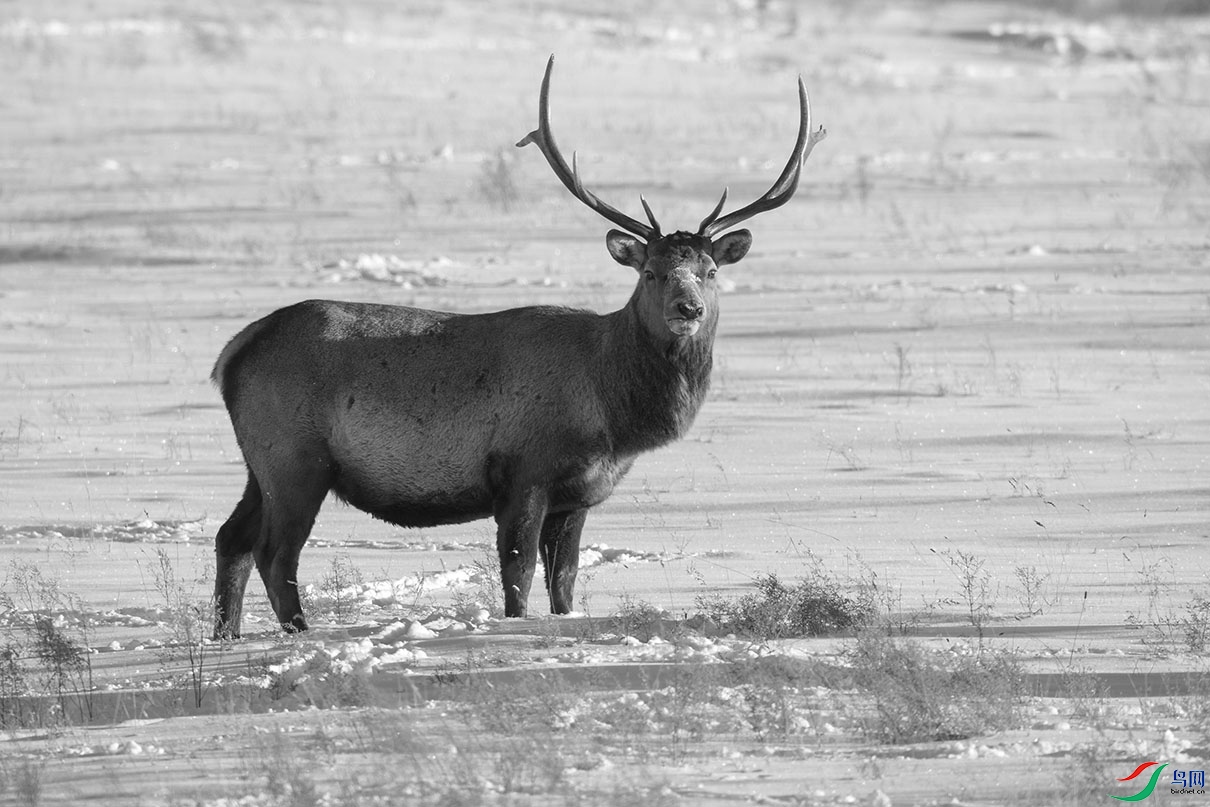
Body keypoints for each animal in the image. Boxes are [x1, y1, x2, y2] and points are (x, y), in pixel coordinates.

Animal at [212, 55, 827, 638]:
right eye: (651, 272)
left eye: (709, 272)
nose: (688, 310)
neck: (612, 410)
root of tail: (232, 354)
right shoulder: (523, 471)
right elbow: (519, 574)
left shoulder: (578, 494)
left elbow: (566, 581)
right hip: (295, 456)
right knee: (275, 554)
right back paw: (295, 633)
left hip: (260, 462)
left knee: (231, 538)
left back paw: (227, 636)